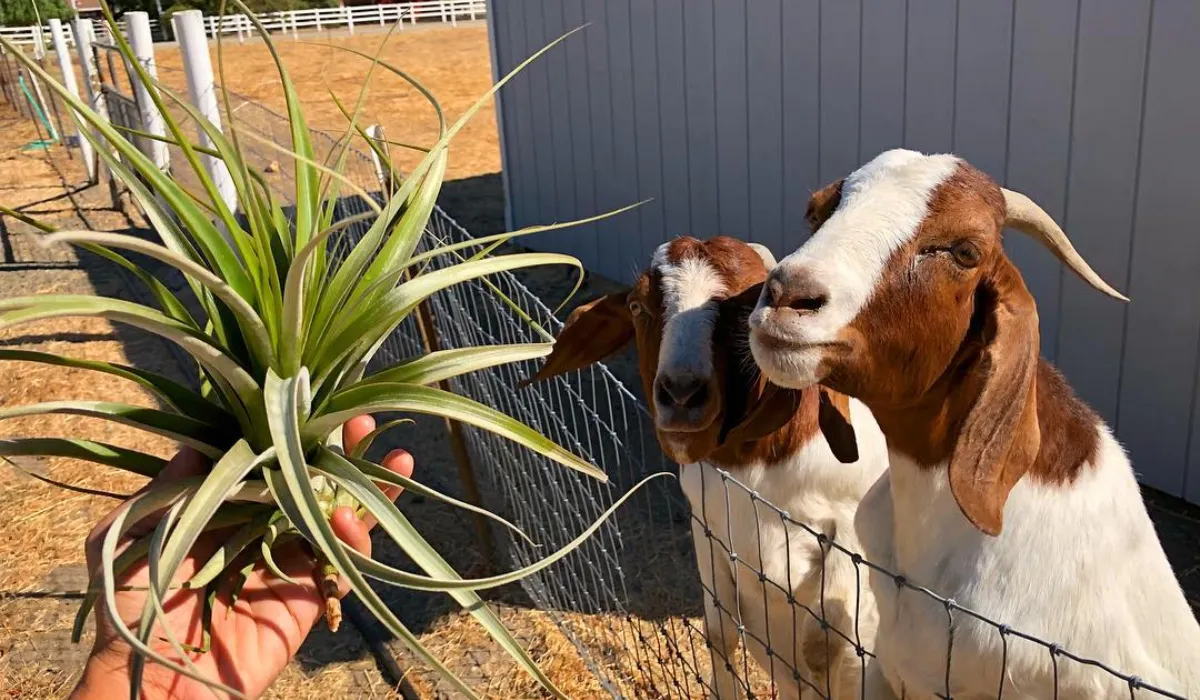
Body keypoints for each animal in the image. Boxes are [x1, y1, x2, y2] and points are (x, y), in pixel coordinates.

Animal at [528, 236, 892, 700]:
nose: (681, 394)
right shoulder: (708, 526)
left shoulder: (851, 540)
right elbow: (720, 630)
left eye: (745, 310)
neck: (755, 469)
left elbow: (821, 651)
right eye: (637, 306)